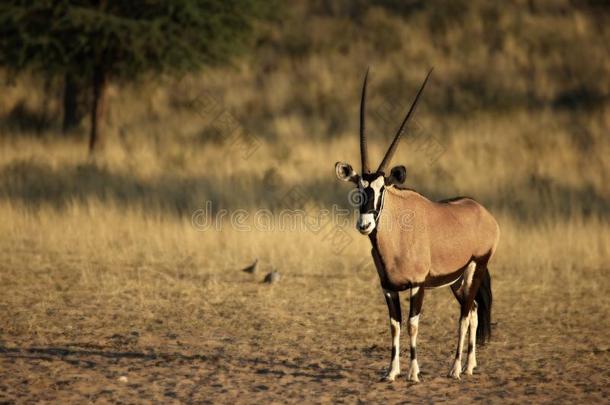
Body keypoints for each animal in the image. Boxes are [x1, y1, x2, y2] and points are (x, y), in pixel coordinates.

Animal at [332, 68, 498, 380]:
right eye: (358, 189)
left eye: (382, 189)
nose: (365, 225)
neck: (397, 235)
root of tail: (483, 213)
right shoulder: (388, 286)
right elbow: (394, 325)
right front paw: (391, 371)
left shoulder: (417, 284)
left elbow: (412, 324)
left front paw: (413, 372)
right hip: (458, 279)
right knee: (472, 311)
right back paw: (469, 365)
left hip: (477, 267)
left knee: (464, 315)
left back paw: (455, 368)